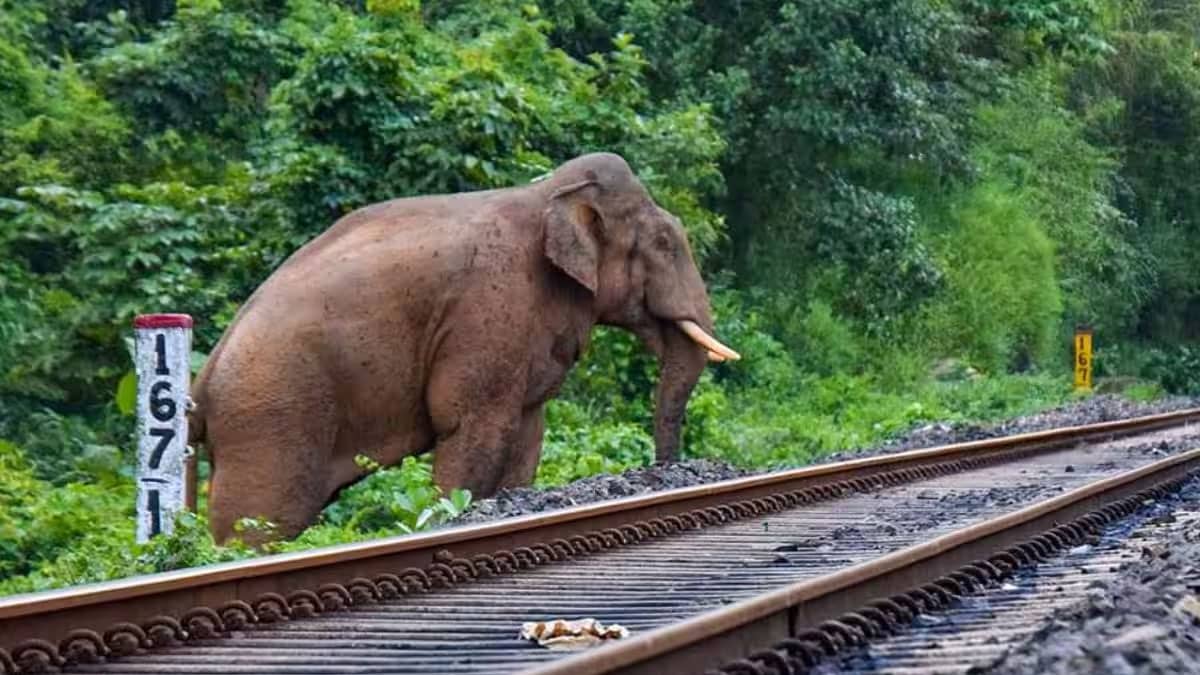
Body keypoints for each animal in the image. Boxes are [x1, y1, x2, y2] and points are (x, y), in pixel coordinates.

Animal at [188, 152, 739, 542]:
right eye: (665, 243)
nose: (668, 471)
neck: (546, 194)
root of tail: (203, 378)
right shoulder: (487, 310)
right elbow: (472, 426)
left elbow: (527, 431)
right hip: (271, 421)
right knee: (258, 524)